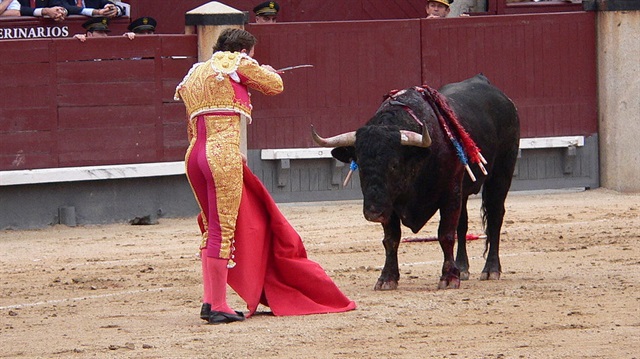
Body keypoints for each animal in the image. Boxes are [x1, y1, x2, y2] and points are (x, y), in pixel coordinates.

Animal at [314, 74, 520, 292]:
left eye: (394, 164)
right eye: (359, 165)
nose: (373, 212)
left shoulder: (449, 192)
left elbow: (446, 234)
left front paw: (449, 278)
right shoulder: (391, 203)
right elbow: (391, 239)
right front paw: (387, 278)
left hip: (501, 173)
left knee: (495, 217)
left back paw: (491, 270)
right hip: (462, 191)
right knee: (463, 224)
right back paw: (463, 268)